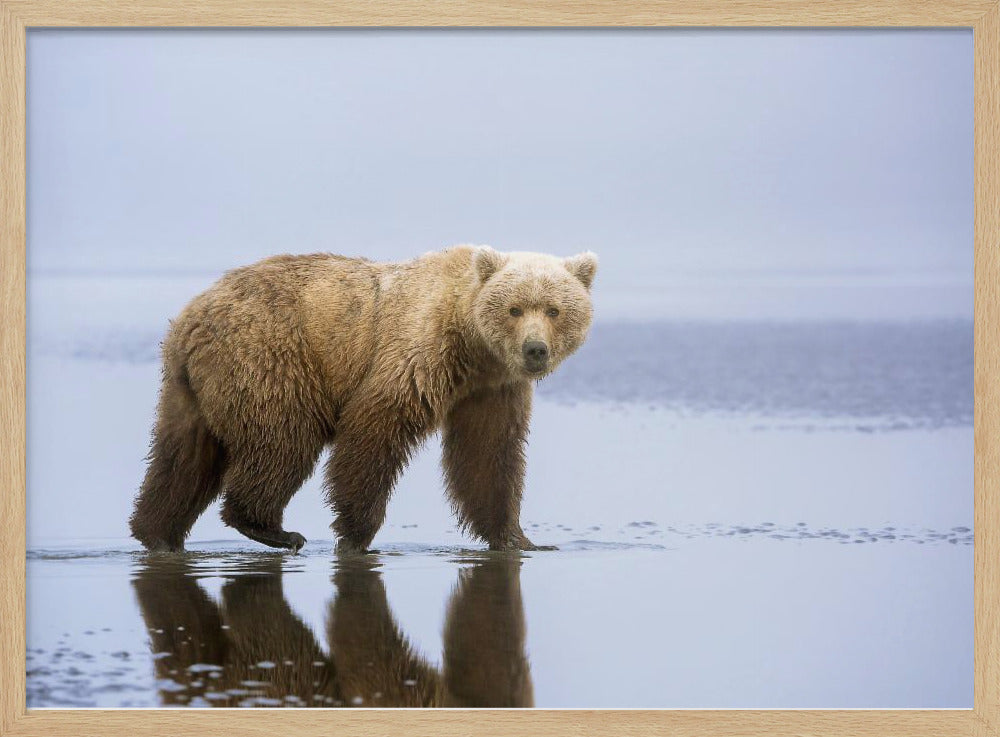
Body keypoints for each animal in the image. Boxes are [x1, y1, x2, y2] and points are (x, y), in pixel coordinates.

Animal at [128, 245, 598, 554]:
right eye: (515, 309)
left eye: (554, 309)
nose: (535, 350)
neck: (472, 345)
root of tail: (189, 317)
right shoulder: (417, 352)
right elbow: (374, 431)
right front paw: (355, 534)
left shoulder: (491, 390)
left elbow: (489, 457)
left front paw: (520, 537)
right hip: (270, 356)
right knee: (283, 441)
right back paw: (274, 529)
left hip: (190, 389)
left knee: (182, 457)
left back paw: (157, 531)